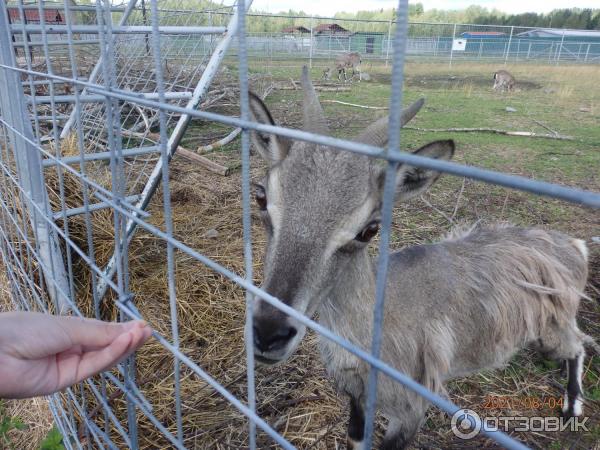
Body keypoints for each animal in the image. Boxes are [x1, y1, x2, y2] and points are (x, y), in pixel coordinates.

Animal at [246, 67, 592, 450]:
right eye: (261, 197)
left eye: (369, 229)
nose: (269, 333)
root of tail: (574, 245)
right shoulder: (356, 398)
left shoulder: (411, 407)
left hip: (554, 329)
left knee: (580, 345)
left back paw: (571, 407)